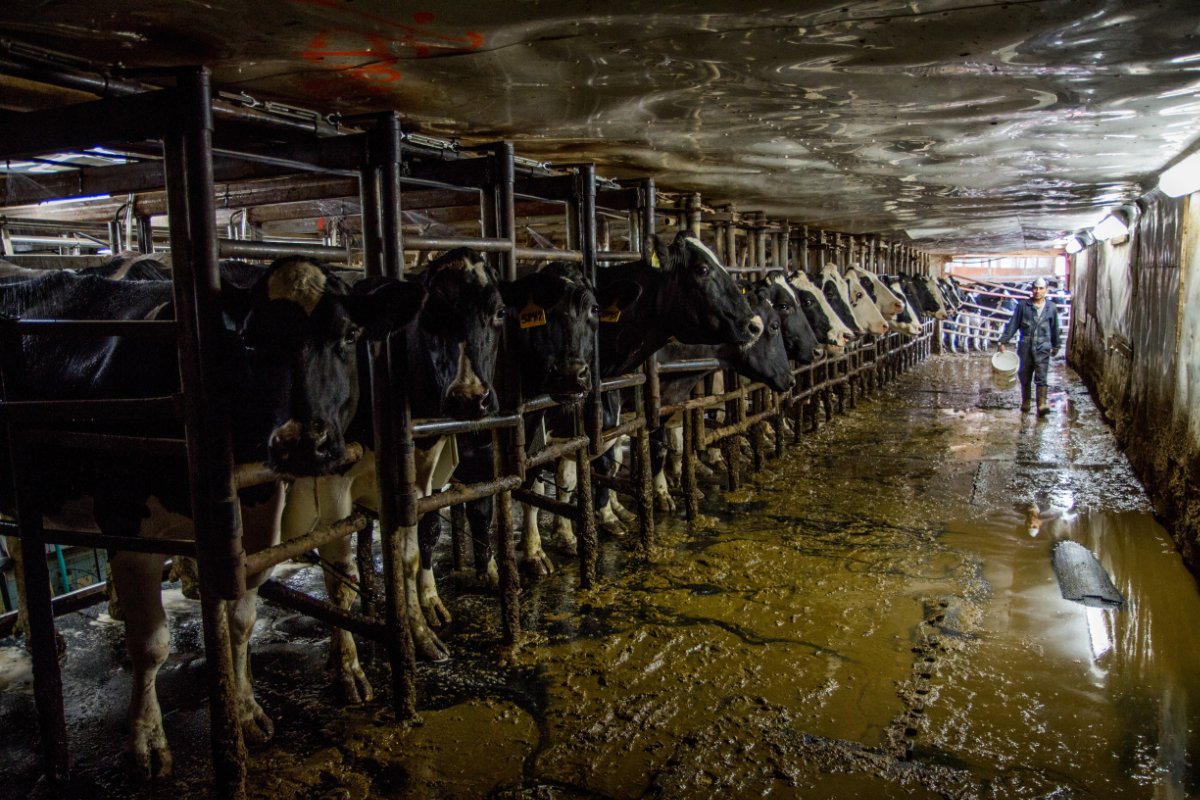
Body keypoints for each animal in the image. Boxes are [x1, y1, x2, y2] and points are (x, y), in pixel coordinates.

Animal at [0, 260, 424, 777]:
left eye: (349, 334)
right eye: (250, 341)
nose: (302, 442)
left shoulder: (257, 514)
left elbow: (240, 619)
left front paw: (244, 710)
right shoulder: (127, 523)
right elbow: (151, 642)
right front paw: (146, 739)